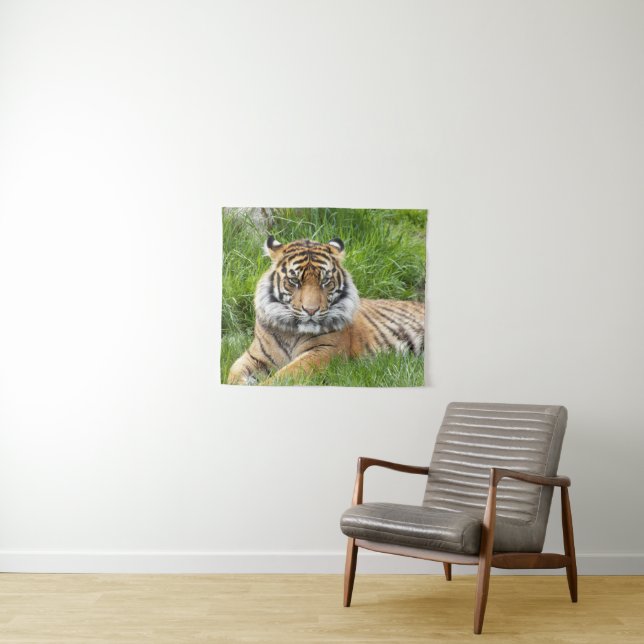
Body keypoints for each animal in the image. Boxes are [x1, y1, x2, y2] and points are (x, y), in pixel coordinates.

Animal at [226, 236, 424, 384]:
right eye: (294, 281)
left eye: (325, 281)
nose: (311, 310)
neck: (291, 332)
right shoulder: (256, 355)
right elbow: (233, 372)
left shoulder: (324, 352)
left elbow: (285, 376)